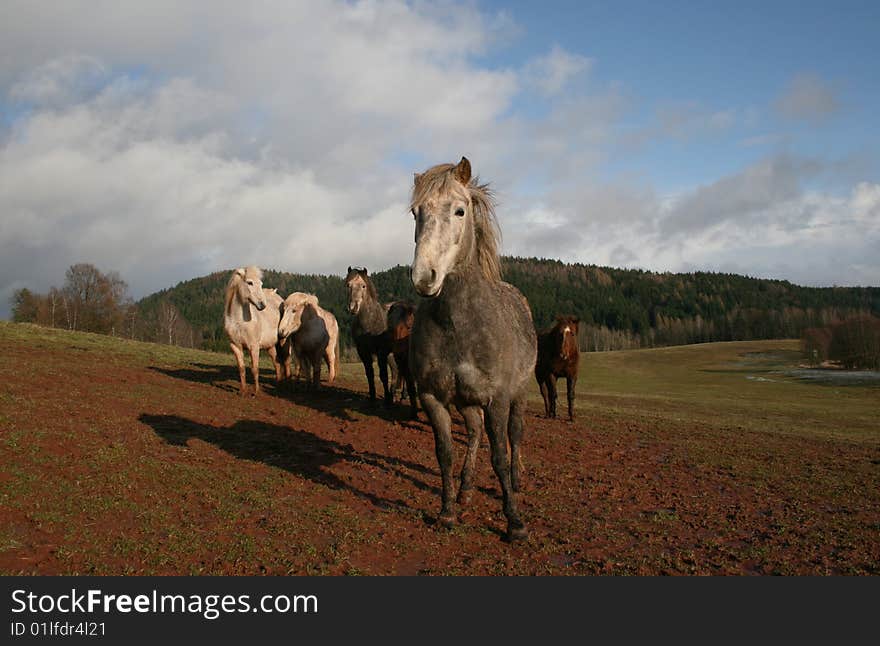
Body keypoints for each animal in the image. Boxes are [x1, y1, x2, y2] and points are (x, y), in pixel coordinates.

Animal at [406, 157, 536, 540]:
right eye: (416, 212)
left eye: (460, 210)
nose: (424, 277)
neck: (459, 324)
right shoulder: (434, 397)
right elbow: (445, 454)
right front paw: (447, 512)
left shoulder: (497, 399)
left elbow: (500, 457)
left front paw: (515, 522)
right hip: (466, 402)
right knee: (475, 433)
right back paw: (465, 489)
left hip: (519, 394)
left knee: (515, 436)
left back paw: (517, 481)